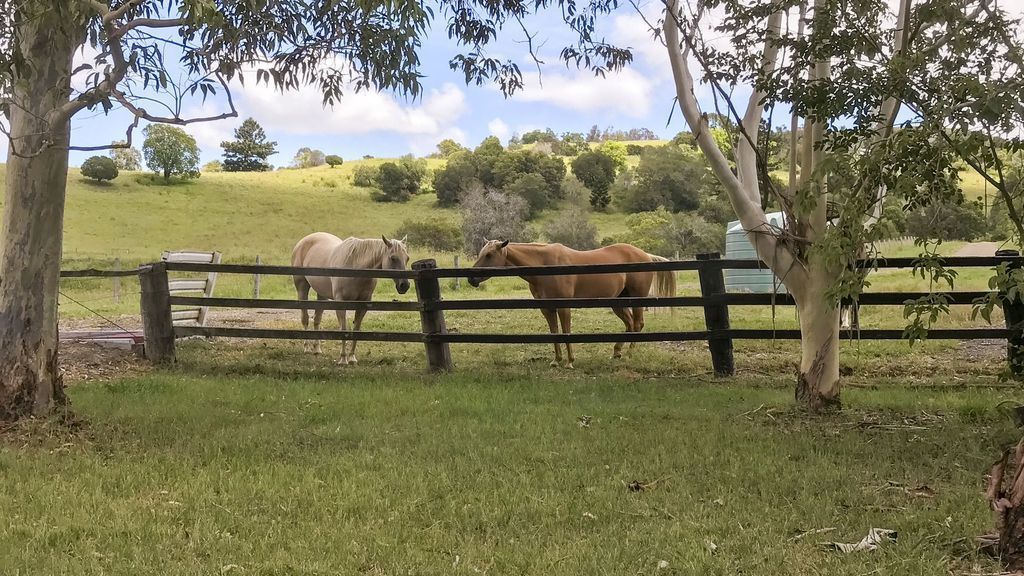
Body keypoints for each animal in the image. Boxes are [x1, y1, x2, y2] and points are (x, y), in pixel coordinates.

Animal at [290, 229, 409, 360]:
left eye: (407, 258)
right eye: (393, 258)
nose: (404, 285)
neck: (355, 268)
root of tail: (303, 241)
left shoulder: (363, 303)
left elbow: (356, 329)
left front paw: (352, 357)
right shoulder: (341, 303)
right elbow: (343, 329)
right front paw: (343, 358)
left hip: (321, 294)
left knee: (317, 319)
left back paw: (317, 349)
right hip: (302, 287)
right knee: (305, 318)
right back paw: (306, 347)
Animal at [468, 238, 675, 364]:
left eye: (489, 255)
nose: (471, 279)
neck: (545, 266)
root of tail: (646, 255)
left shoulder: (563, 306)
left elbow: (566, 332)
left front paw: (569, 361)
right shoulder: (547, 309)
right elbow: (555, 333)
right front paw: (556, 360)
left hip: (636, 298)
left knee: (638, 324)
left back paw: (630, 354)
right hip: (618, 302)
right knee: (630, 324)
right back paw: (617, 352)